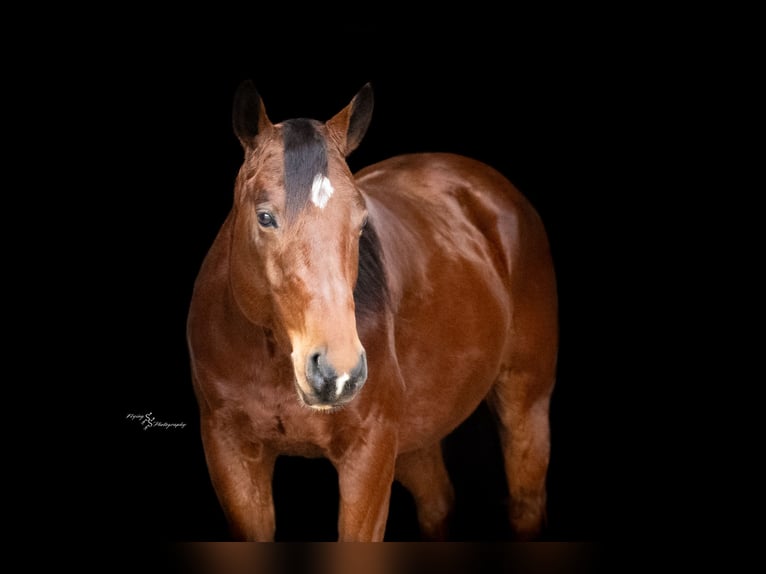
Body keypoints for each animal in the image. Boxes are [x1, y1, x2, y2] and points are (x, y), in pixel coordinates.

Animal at [186, 81, 558, 541]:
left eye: (361, 222)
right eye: (266, 217)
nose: (337, 373)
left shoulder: (369, 454)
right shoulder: (230, 452)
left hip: (526, 402)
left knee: (526, 500)